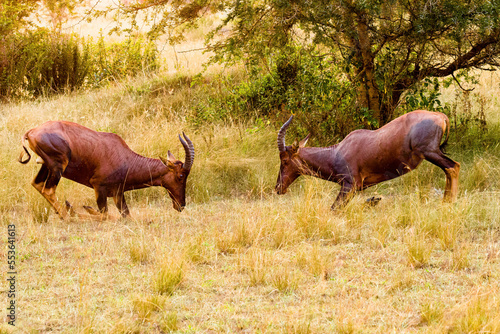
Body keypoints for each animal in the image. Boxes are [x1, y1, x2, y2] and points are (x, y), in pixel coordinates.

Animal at [18, 120, 193, 219]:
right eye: (181, 175)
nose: (181, 205)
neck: (125, 157)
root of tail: (31, 132)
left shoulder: (117, 194)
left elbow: (126, 216)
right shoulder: (98, 187)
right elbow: (105, 215)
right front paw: (82, 210)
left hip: (47, 165)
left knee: (37, 184)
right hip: (58, 166)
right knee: (48, 189)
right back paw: (67, 215)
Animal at [278, 109, 460, 209]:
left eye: (284, 160)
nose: (278, 188)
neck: (337, 151)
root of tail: (439, 115)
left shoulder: (350, 185)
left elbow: (334, 209)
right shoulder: (357, 188)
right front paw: (375, 200)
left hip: (430, 152)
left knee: (453, 166)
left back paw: (449, 203)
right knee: (450, 169)